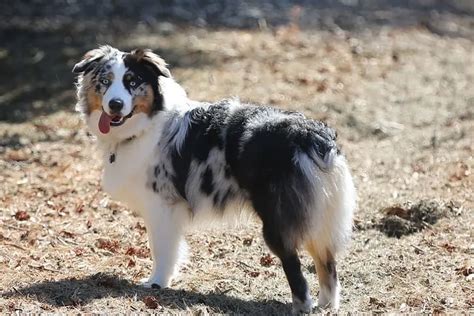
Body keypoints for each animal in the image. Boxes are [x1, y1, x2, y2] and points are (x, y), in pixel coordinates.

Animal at [72, 45, 356, 314]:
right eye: (105, 81)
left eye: (132, 81)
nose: (115, 104)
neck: (147, 124)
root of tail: (312, 136)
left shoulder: (161, 205)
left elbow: (161, 249)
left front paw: (156, 283)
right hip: (317, 216)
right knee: (328, 264)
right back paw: (327, 305)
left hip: (278, 221)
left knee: (296, 269)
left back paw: (302, 306)